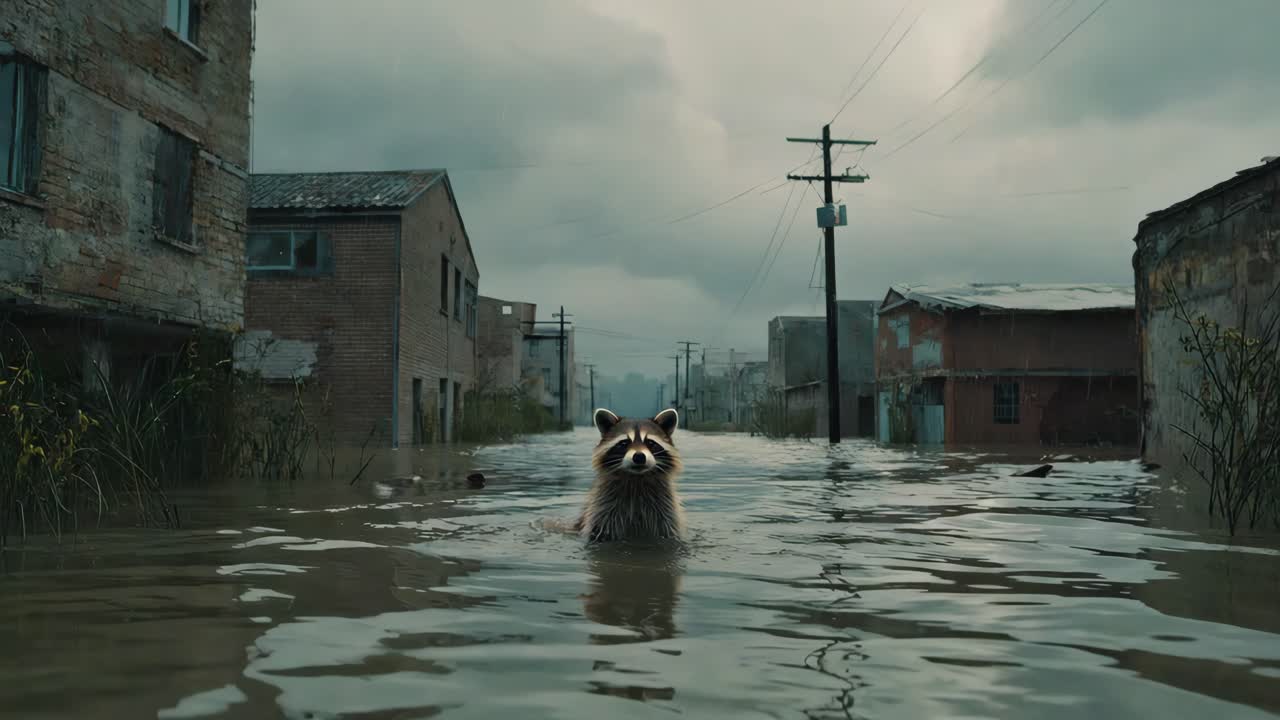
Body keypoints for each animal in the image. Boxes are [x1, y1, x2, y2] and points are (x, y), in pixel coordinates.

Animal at [575, 408, 685, 543]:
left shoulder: (666, 513)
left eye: (650, 443)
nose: (639, 456)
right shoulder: (602, 512)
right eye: (624, 443)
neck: (636, 479)